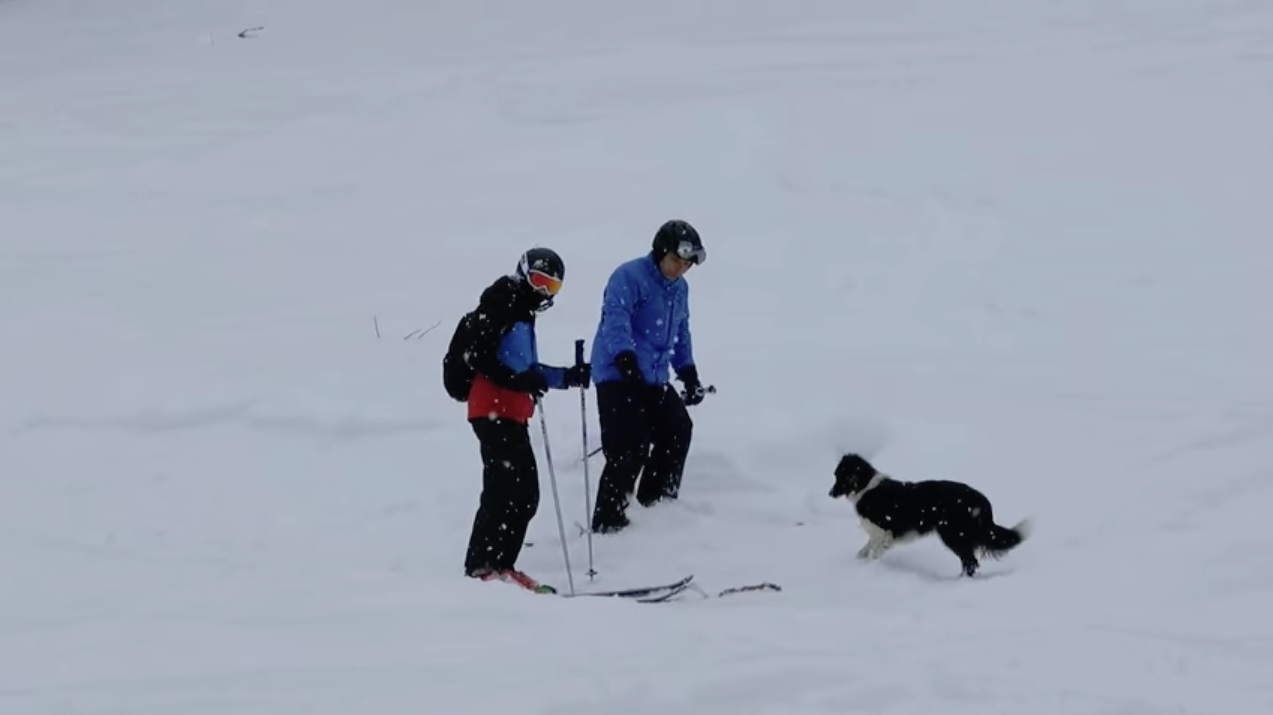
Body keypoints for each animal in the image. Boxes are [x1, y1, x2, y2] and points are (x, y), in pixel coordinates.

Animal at [829, 452, 1028, 575]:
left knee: (970, 561)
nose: (830, 493)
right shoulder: (876, 535)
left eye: (839, 476)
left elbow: (873, 553)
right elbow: (864, 550)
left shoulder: (885, 532)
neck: (866, 487)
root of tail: (982, 500)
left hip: (953, 534)